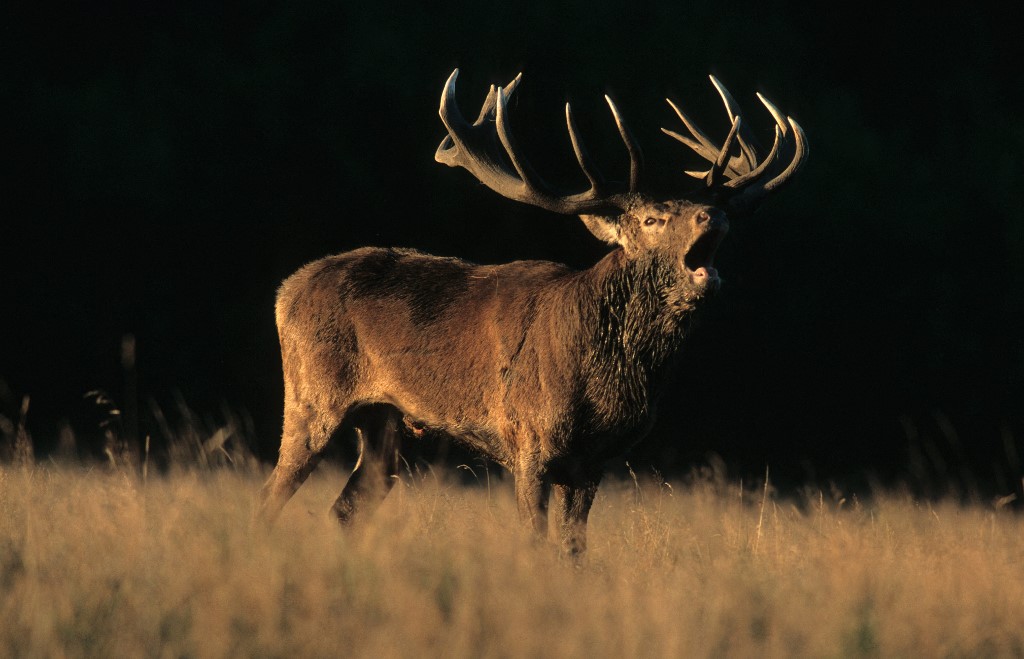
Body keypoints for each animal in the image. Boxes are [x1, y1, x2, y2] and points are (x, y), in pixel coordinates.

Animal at [256, 69, 806, 556]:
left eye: (712, 209)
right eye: (653, 219)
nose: (713, 214)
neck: (603, 381)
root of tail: (284, 291)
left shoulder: (592, 463)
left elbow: (573, 548)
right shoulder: (528, 440)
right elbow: (537, 542)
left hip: (385, 420)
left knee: (345, 508)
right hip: (310, 394)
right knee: (270, 496)